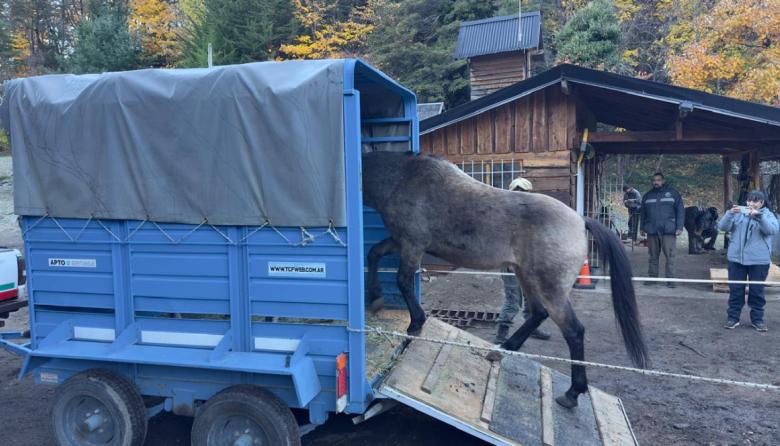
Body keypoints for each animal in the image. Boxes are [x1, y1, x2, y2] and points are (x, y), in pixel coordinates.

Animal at [362, 151, 649, 409]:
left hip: (550, 290)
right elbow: (373, 254)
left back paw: (571, 394)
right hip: (526, 276)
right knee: (537, 314)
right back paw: (502, 350)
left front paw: (414, 324)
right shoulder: (398, 241)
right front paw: (375, 298)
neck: (402, 178)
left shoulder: (412, 245)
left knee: (574, 331)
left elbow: (402, 281)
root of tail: (580, 221)